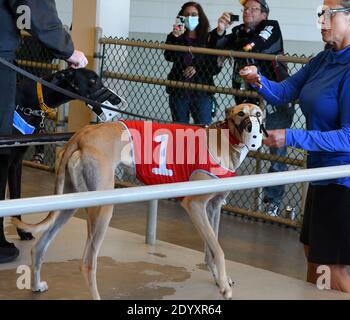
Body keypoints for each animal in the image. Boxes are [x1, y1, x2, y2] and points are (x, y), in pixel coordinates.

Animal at [13, 103, 266, 300]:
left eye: (258, 113)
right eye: (241, 113)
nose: (252, 129)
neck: (223, 140)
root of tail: (81, 135)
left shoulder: (213, 207)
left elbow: (211, 248)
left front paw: (221, 280)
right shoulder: (195, 206)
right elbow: (219, 249)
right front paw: (224, 287)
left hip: (70, 203)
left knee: (39, 247)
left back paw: (36, 285)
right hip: (102, 209)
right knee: (87, 263)